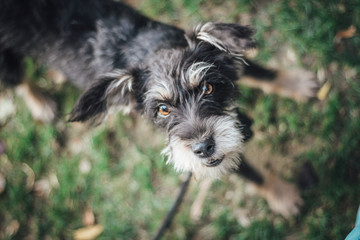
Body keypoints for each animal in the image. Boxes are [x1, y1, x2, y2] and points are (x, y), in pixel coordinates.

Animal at [0, 0, 312, 218]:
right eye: (162, 109)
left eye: (207, 88)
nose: (203, 148)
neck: (149, 49)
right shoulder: (213, 157)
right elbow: (249, 170)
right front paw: (282, 195)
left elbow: (258, 71)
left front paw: (295, 83)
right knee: (17, 80)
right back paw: (40, 103)